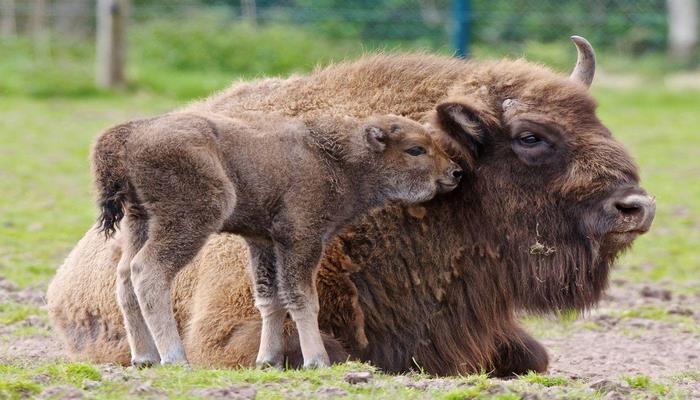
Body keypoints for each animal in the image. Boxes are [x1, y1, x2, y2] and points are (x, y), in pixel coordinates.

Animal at [93, 110, 464, 368]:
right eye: (416, 149)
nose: (455, 172)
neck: (337, 160)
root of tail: (129, 135)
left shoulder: (264, 242)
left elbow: (270, 299)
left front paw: (267, 360)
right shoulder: (302, 239)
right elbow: (302, 298)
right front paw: (317, 360)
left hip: (140, 222)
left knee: (124, 278)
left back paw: (144, 357)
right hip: (188, 221)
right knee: (148, 272)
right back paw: (174, 357)